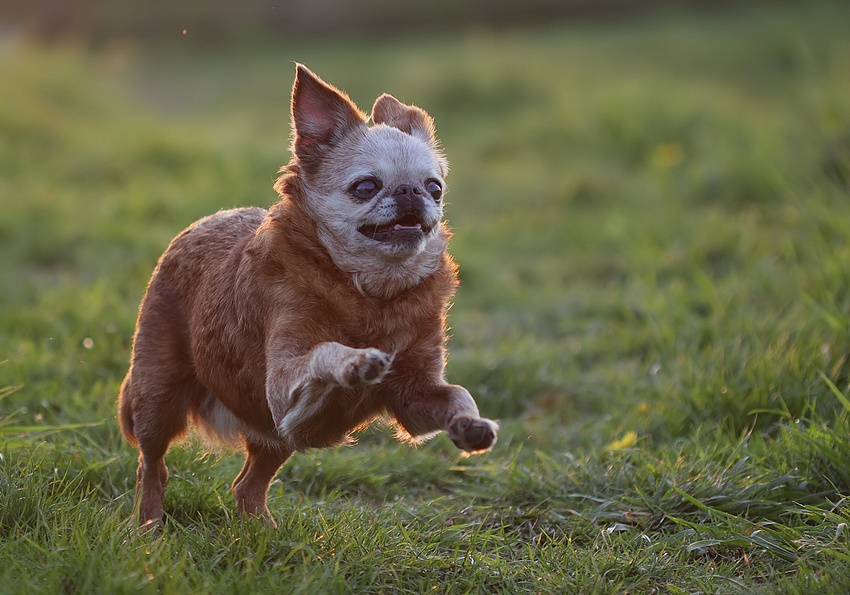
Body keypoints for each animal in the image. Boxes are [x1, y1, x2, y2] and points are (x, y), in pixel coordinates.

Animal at [116, 64, 494, 528]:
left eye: (435, 188)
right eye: (366, 187)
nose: (410, 191)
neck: (373, 292)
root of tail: (205, 221)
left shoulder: (413, 396)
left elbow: (457, 393)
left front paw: (469, 424)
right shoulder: (282, 385)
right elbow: (323, 350)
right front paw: (355, 360)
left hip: (275, 436)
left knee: (246, 486)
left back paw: (260, 531)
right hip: (158, 397)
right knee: (152, 466)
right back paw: (148, 526)